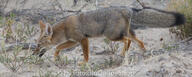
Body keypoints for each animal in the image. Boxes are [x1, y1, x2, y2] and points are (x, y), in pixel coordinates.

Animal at [32, 6, 185, 64]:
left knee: (127, 40)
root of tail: (128, 8)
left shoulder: (82, 40)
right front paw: (56, 57)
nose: (33, 54)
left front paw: (84, 63)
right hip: (123, 34)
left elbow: (85, 54)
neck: (64, 27)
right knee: (138, 41)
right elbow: (58, 47)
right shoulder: (74, 41)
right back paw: (141, 53)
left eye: (38, 45)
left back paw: (125, 54)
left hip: (111, 36)